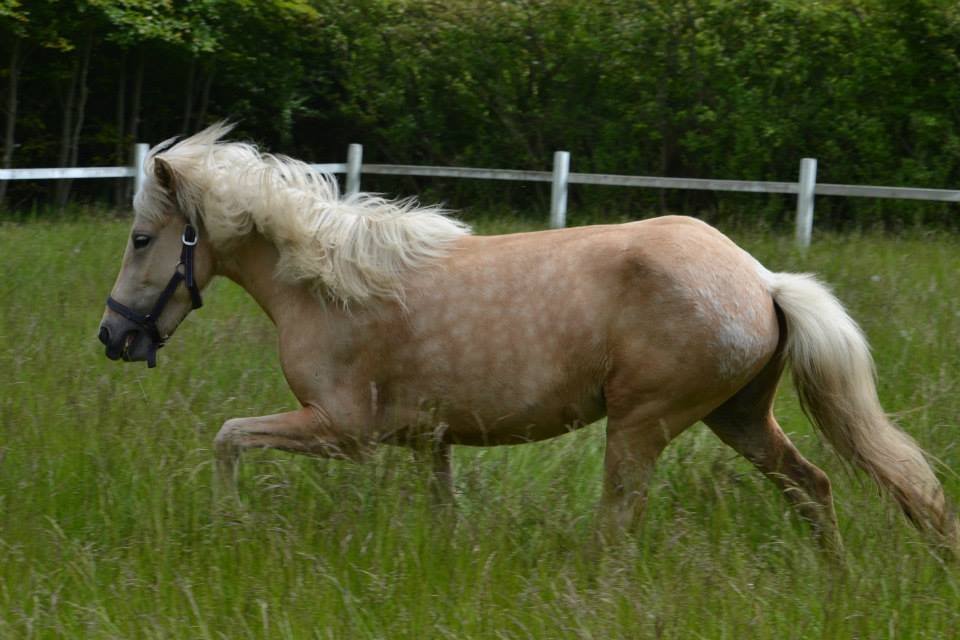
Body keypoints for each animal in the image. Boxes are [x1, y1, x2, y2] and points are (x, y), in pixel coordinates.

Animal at [98, 123, 959, 559]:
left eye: (141, 239)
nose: (111, 336)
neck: (330, 284)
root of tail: (761, 277)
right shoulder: (428, 439)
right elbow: (442, 510)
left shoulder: (342, 431)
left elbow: (228, 438)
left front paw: (229, 526)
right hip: (739, 416)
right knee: (812, 486)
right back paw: (836, 578)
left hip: (642, 423)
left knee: (620, 524)